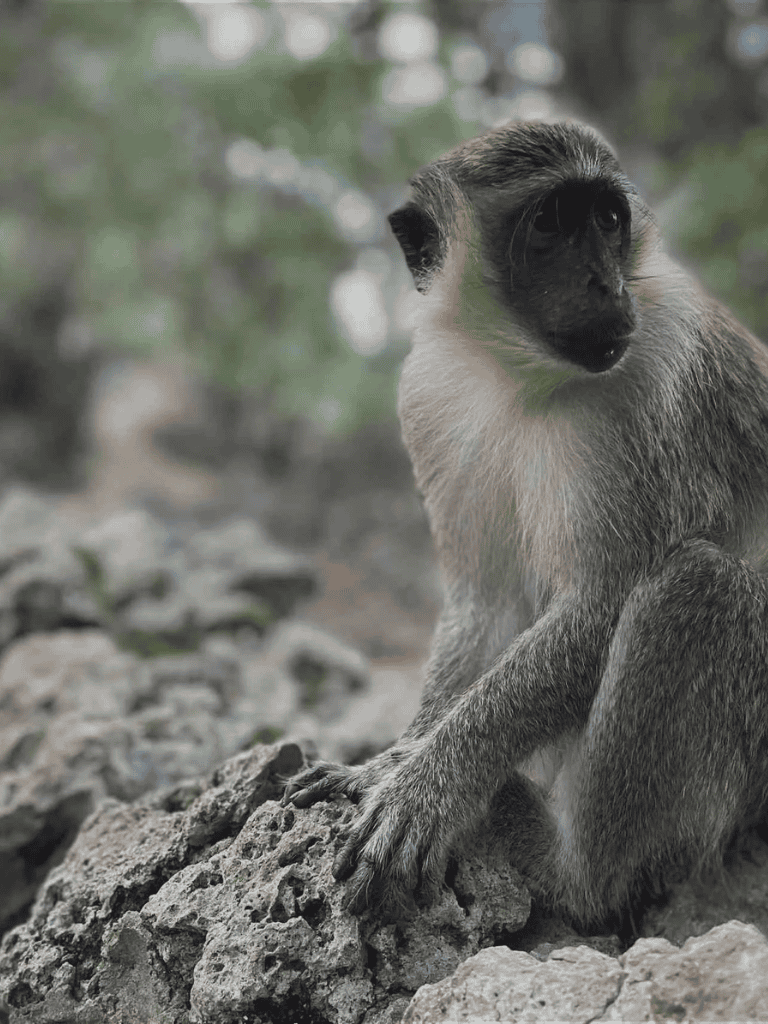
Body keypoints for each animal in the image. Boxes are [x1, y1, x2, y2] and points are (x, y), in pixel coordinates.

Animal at [283, 119, 768, 931]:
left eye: (606, 218)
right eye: (549, 224)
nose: (606, 285)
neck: (523, 374)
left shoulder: (654, 372)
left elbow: (604, 600)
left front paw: (432, 780)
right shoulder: (431, 394)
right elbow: (486, 603)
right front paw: (393, 758)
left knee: (696, 584)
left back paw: (568, 864)